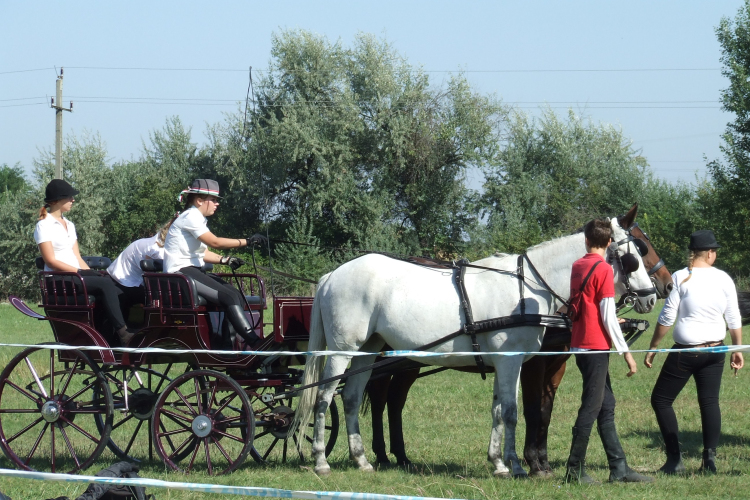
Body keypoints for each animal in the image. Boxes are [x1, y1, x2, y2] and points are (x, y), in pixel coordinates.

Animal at [294, 211, 656, 476]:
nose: (651, 297)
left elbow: (498, 409)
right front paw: (516, 465)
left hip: (368, 350)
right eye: (633, 257)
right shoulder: (511, 360)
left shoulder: (506, 362)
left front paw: (498, 462)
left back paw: (362, 460)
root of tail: (331, 276)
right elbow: (511, 411)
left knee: (352, 399)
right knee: (325, 398)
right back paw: (321, 461)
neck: (529, 288)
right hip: (341, 350)